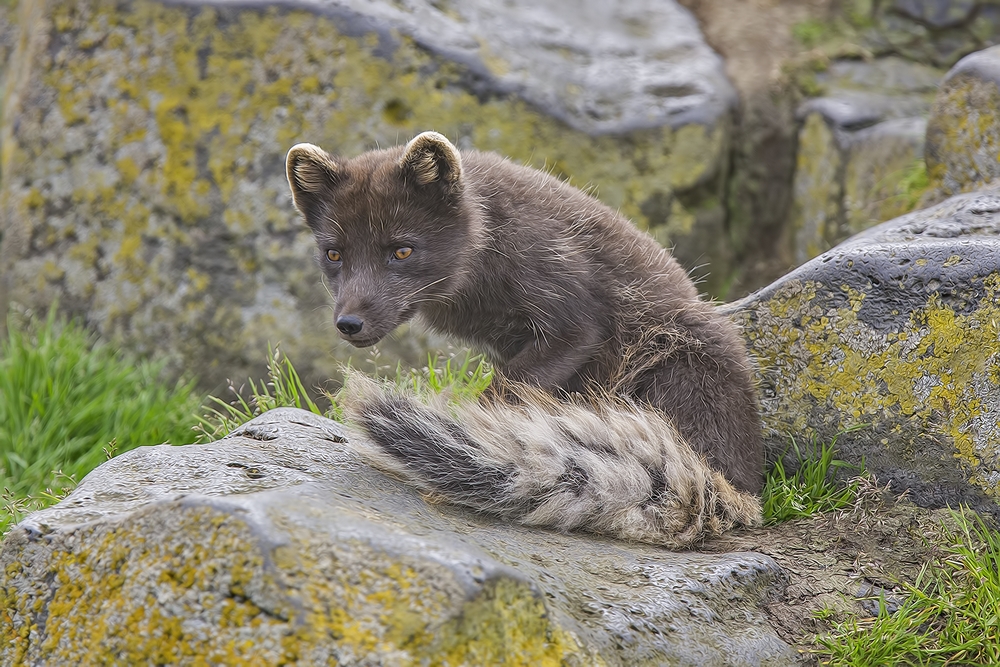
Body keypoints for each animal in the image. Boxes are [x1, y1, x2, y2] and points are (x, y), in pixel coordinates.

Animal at [286, 132, 760, 548]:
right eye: (334, 254)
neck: (489, 240)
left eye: (402, 250)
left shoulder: (572, 322)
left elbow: (499, 396)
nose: (349, 323)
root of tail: (738, 488)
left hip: (671, 359)